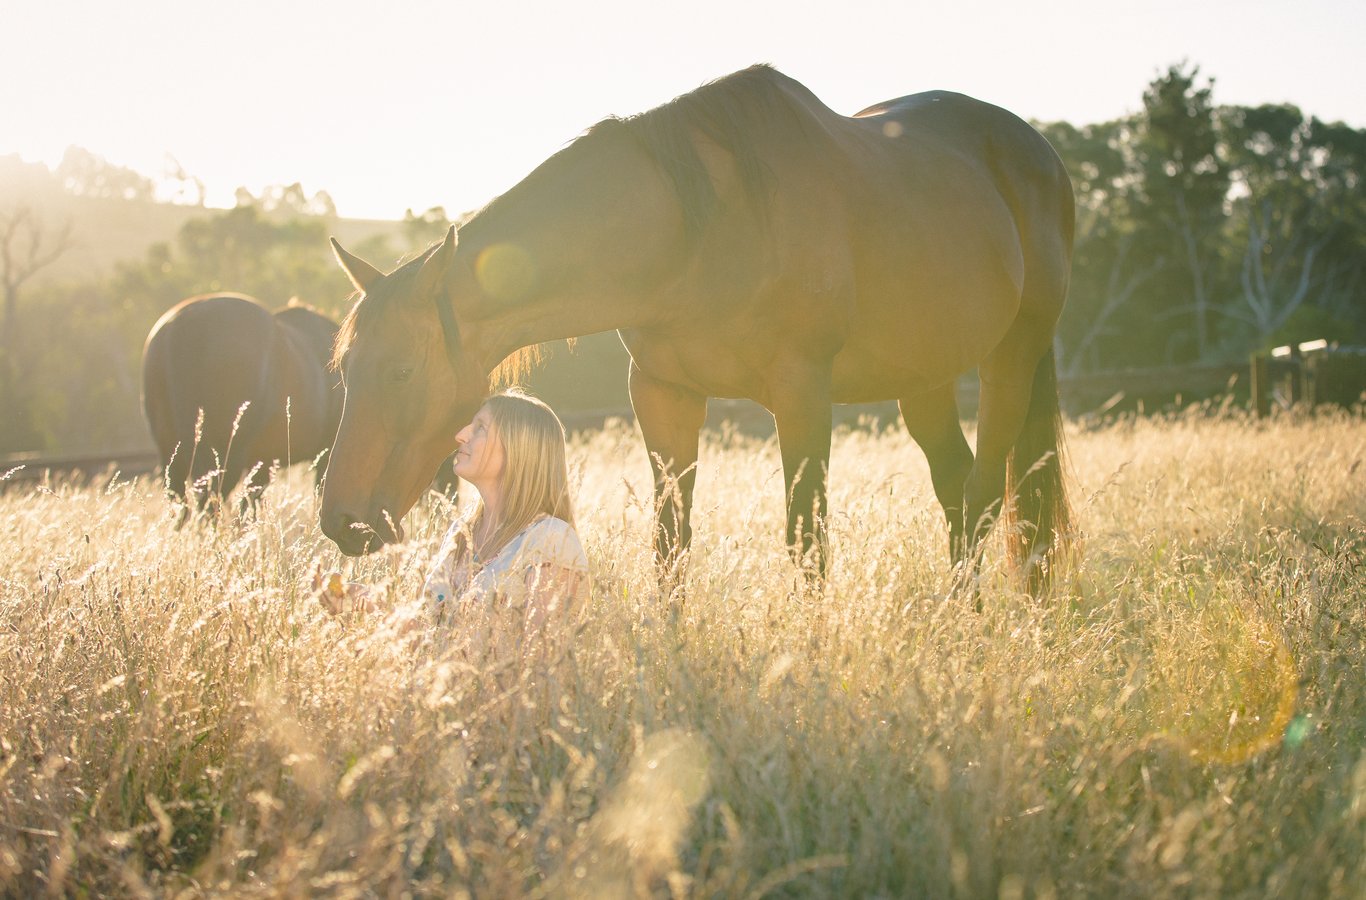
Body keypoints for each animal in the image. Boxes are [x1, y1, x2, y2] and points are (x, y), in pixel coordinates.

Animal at [321, 64, 1074, 589]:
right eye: (344, 369)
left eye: (401, 370)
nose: (341, 522)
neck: (697, 231)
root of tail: (1032, 149)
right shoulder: (664, 394)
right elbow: (670, 545)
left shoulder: (803, 397)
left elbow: (806, 545)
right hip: (925, 380)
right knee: (958, 489)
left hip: (1011, 358)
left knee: (986, 496)